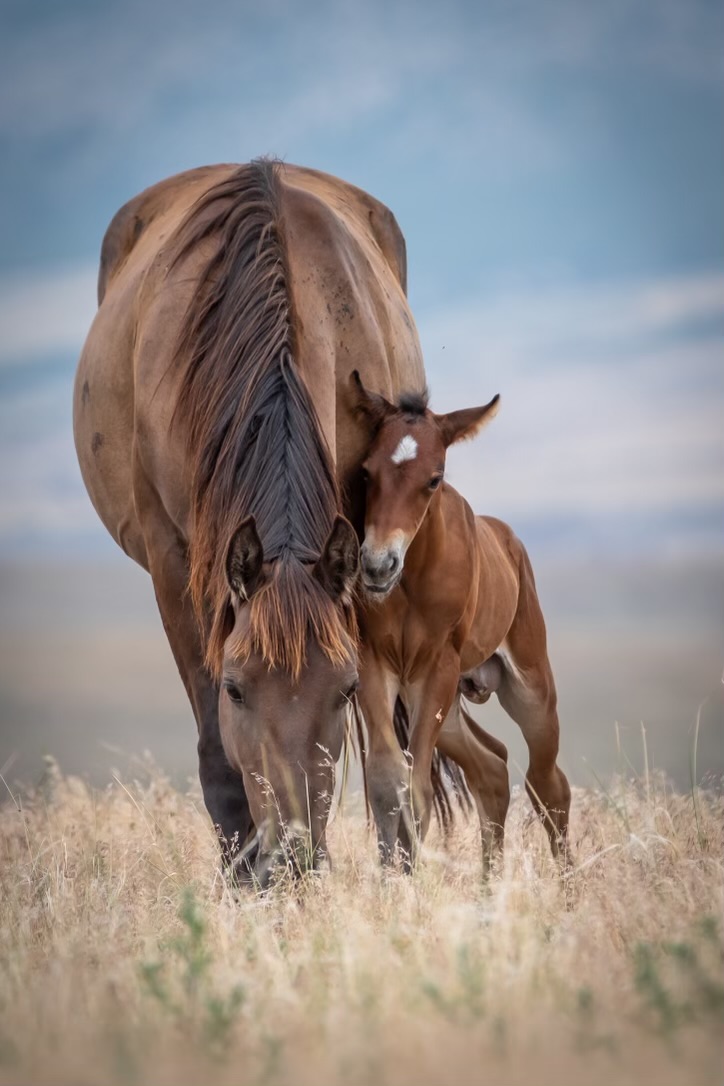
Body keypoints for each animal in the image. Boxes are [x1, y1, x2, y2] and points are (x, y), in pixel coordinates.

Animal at [73, 162, 425, 890]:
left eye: (344, 688)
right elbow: (216, 752)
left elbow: (378, 744)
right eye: (236, 689)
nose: (292, 860)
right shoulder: (176, 566)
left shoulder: (363, 547)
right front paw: (241, 880)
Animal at [351, 377, 573, 868]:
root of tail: (510, 543)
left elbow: (417, 787)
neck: (414, 579)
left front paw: (412, 878)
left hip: (529, 690)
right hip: (449, 704)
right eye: (367, 472)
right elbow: (387, 779)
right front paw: (389, 877)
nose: (377, 565)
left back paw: (571, 882)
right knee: (492, 768)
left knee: (547, 784)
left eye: (433, 479)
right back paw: (490, 884)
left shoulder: (437, 666)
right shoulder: (378, 664)